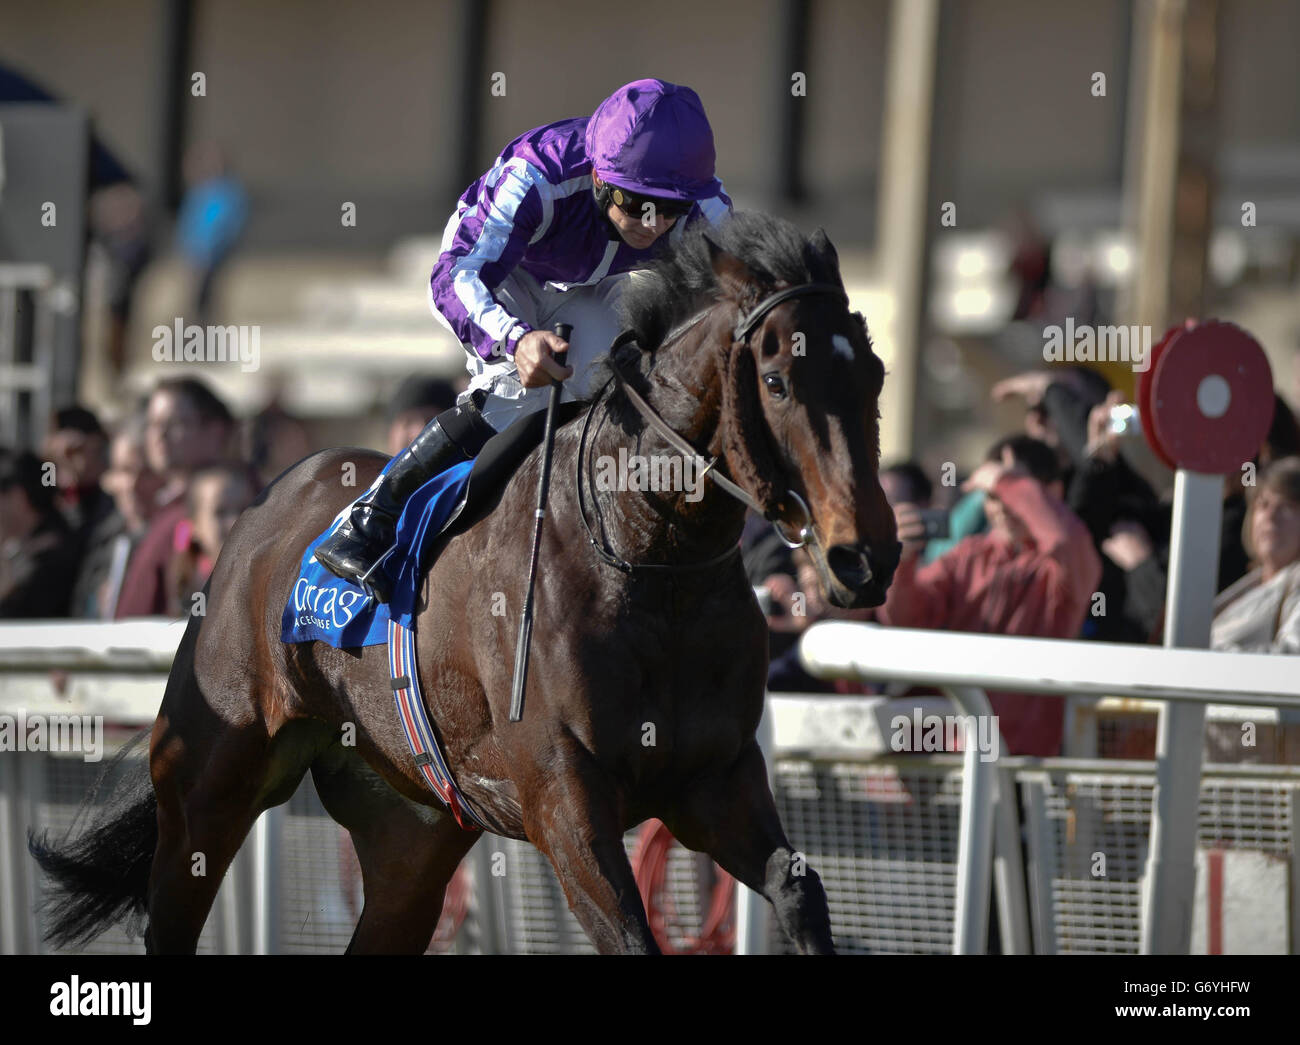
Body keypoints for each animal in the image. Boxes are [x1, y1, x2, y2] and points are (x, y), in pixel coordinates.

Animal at [32, 211, 904, 956]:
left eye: (876, 374)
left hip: (412, 829)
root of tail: (263, 504)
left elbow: (798, 889)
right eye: (779, 381)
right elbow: (631, 933)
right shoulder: (564, 801)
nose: (866, 557)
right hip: (208, 782)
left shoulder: (713, 778)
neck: (645, 558)